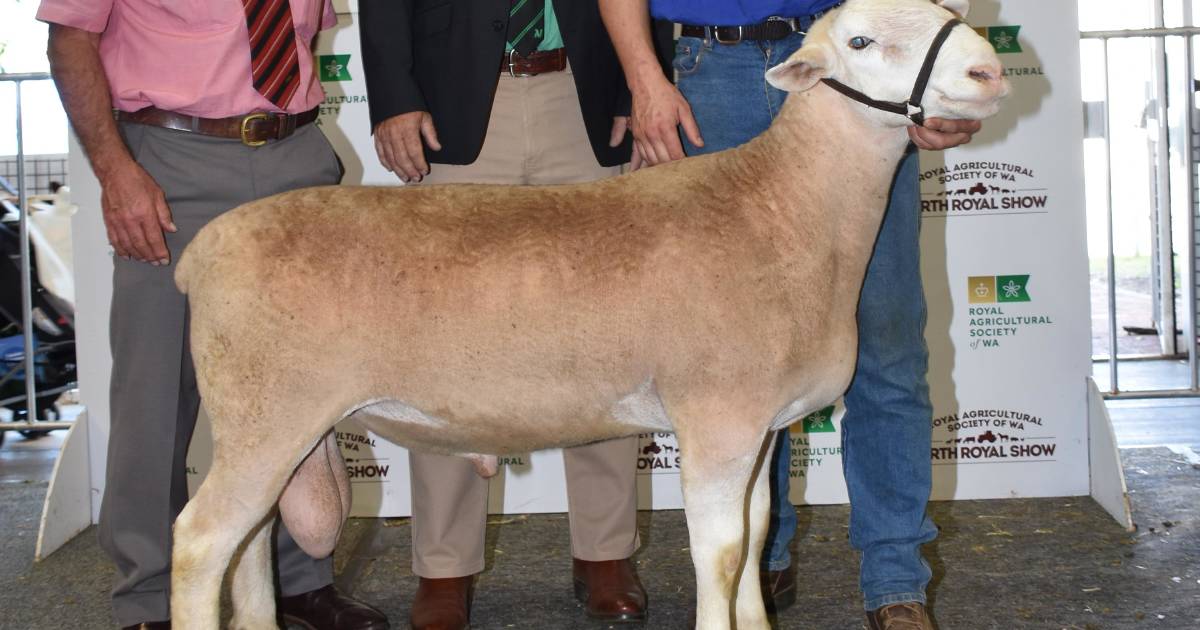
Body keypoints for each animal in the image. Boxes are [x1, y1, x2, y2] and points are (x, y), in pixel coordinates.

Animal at [169, 2, 1008, 624]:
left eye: (949, 15)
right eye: (861, 40)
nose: (990, 69)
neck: (785, 206)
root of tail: (201, 251)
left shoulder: (761, 426)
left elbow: (757, 537)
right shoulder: (716, 420)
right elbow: (721, 553)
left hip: (271, 428)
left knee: (248, 549)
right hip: (268, 412)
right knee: (199, 544)